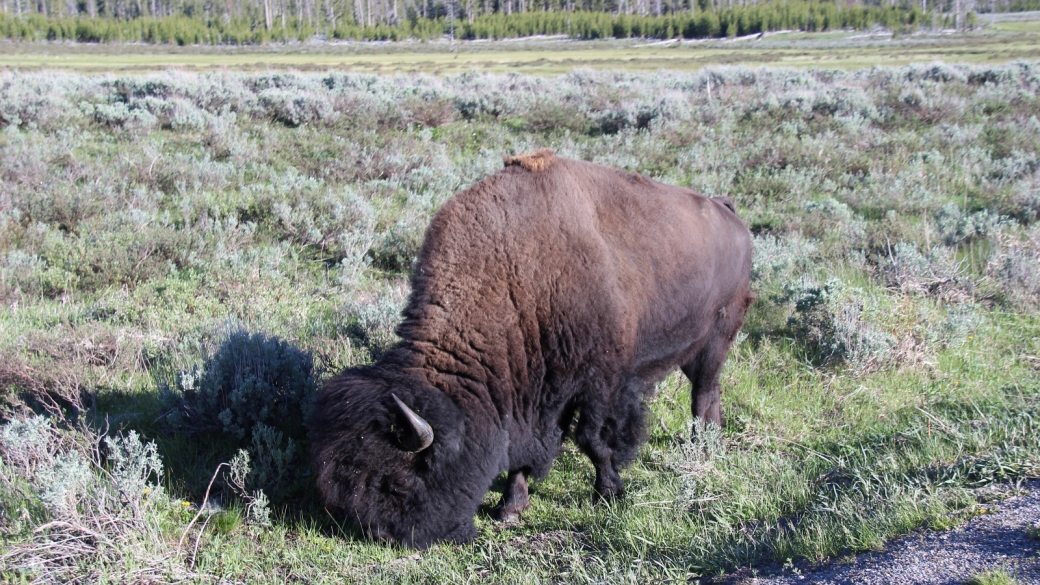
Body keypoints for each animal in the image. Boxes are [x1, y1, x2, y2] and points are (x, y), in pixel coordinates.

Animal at [312, 148, 752, 545]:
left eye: (399, 483)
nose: (383, 535)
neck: (516, 275)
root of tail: (728, 213)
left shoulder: (601, 384)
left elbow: (594, 440)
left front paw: (609, 493)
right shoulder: (533, 393)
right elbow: (524, 451)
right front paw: (510, 507)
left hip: (717, 337)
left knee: (702, 395)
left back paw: (702, 450)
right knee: (711, 394)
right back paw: (710, 446)